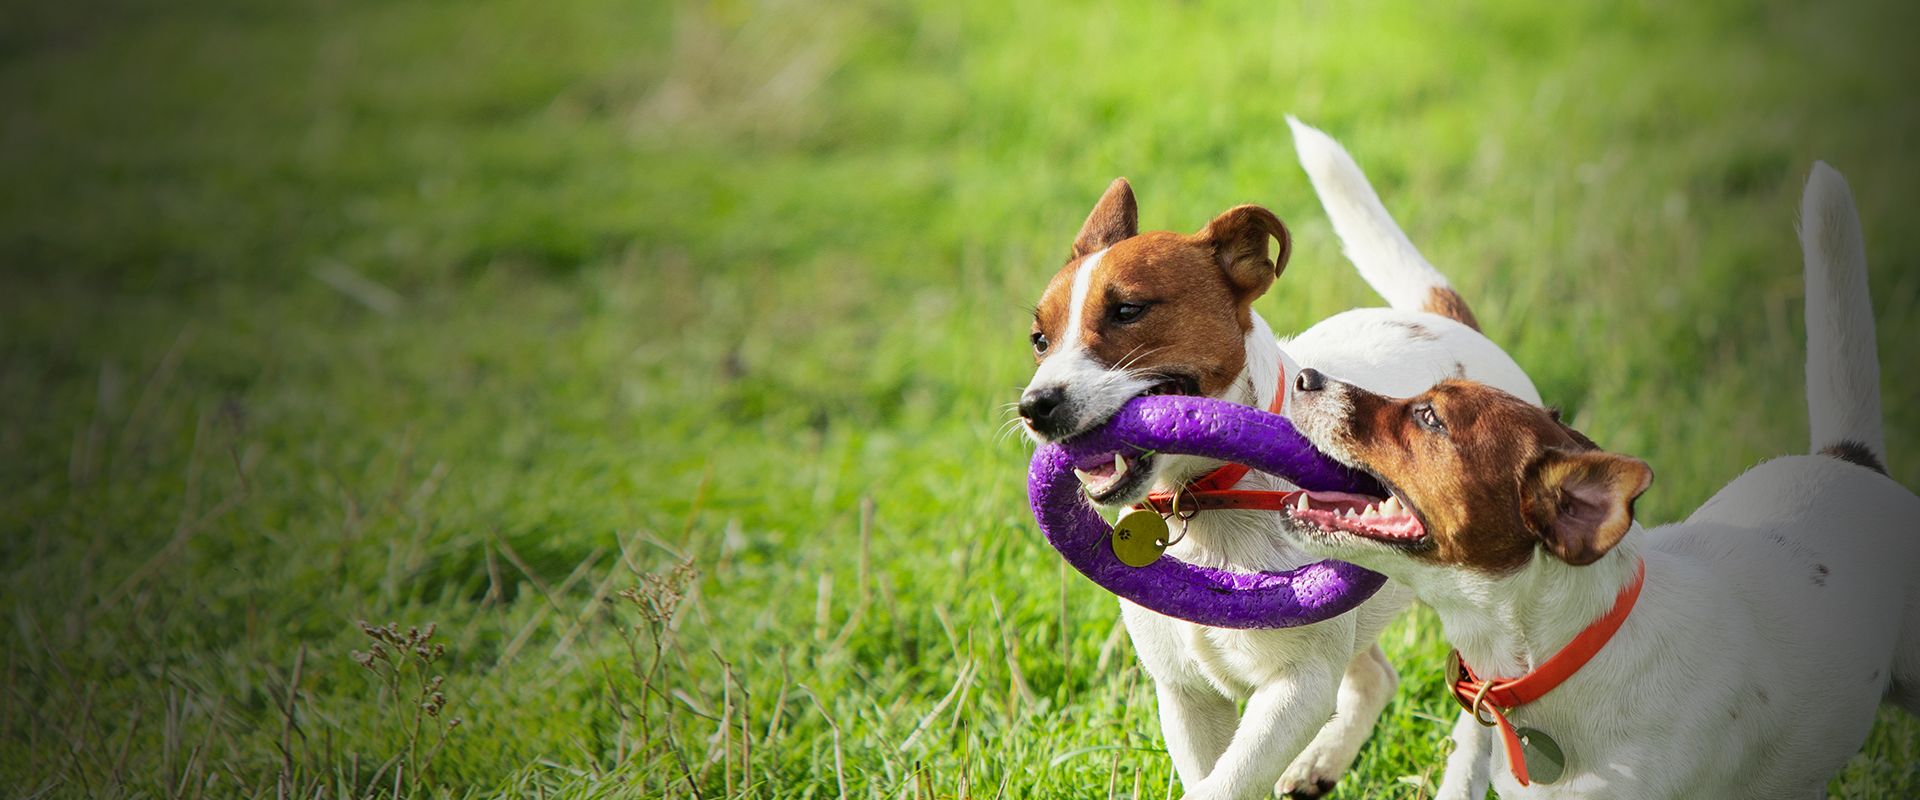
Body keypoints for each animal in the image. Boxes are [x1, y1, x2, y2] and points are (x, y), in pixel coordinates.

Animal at [1029, 119, 1536, 798]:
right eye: (1039, 339)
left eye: (1128, 310)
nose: (1033, 406)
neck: (1207, 501)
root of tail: (1447, 323)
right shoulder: (1185, 696)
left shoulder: (1297, 687)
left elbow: (1227, 784)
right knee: (1376, 677)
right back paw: (1319, 766)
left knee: (1481, 713)